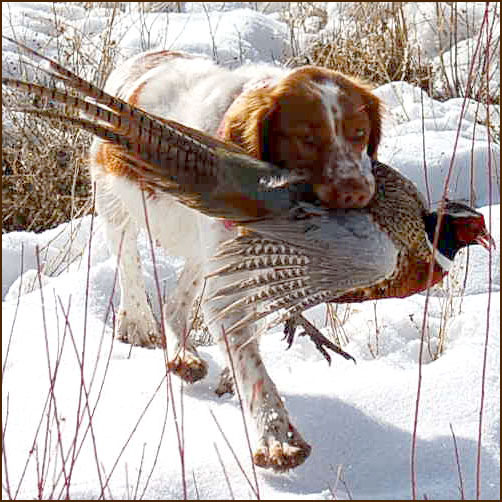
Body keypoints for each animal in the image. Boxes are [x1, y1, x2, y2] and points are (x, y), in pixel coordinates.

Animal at [89, 50, 380, 470]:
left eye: (359, 133)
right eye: (307, 138)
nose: (356, 192)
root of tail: (143, 57)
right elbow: (254, 369)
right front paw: (276, 439)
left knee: (177, 302)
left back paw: (183, 353)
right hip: (116, 203)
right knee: (128, 264)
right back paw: (139, 323)